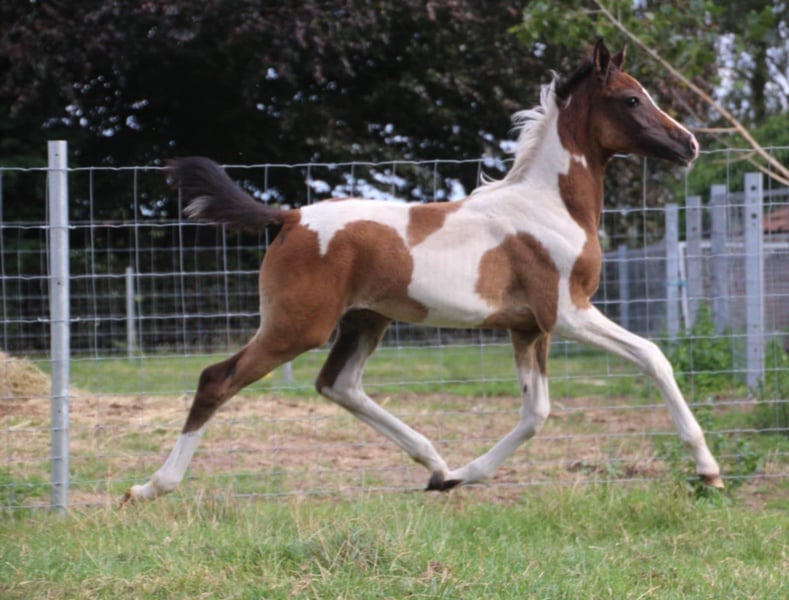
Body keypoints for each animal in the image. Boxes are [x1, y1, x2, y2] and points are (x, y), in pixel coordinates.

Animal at [123, 39, 723, 503]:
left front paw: (461, 477)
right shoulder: (567, 313)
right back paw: (150, 487)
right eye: (631, 98)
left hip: (365, 320)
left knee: (338, 384)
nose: (689, 144)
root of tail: (289, 217)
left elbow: (536, 413)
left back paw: (436, 466)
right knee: (217, 380)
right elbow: (652, 357)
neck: (549, 205)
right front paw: (708, 470)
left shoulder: (527, 327)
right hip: (297, 326)